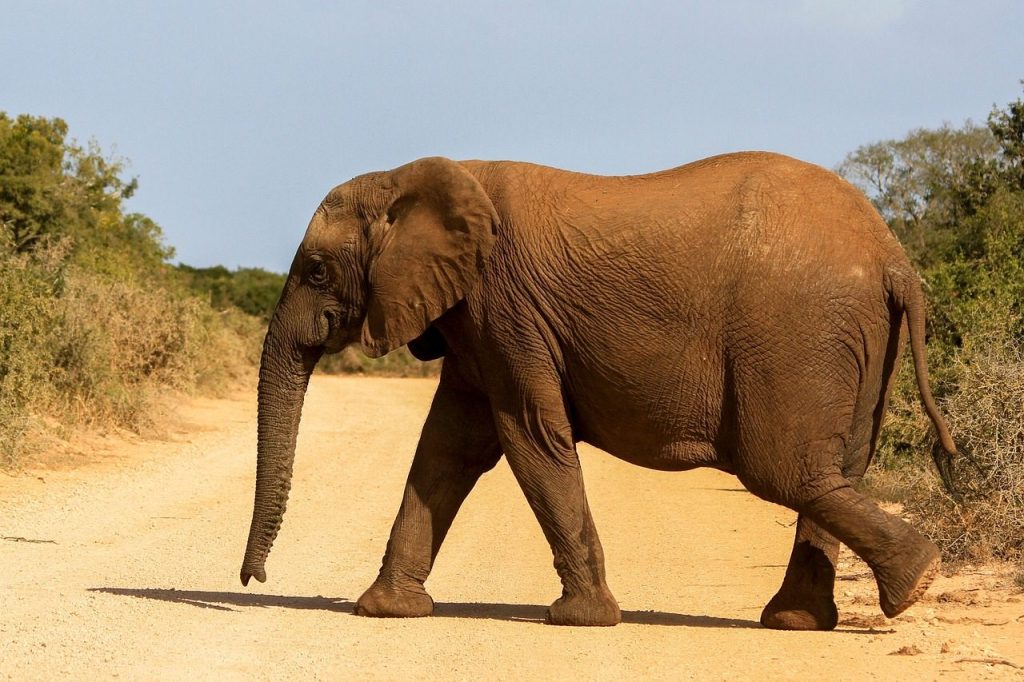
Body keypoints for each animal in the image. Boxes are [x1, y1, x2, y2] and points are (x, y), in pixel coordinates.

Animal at [239, 151, 958, 630]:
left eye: (316, 270)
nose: (253, 578)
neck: (414, 175)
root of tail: (894, 257)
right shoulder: (477, 321)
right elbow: (448, 449)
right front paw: (386, 611)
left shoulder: (507, 308)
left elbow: (529, 438)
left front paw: (580, 619)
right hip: (855, 340)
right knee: (838, 468)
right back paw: (814, 616)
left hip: (796, 335)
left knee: (785, 468)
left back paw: (914, 579)